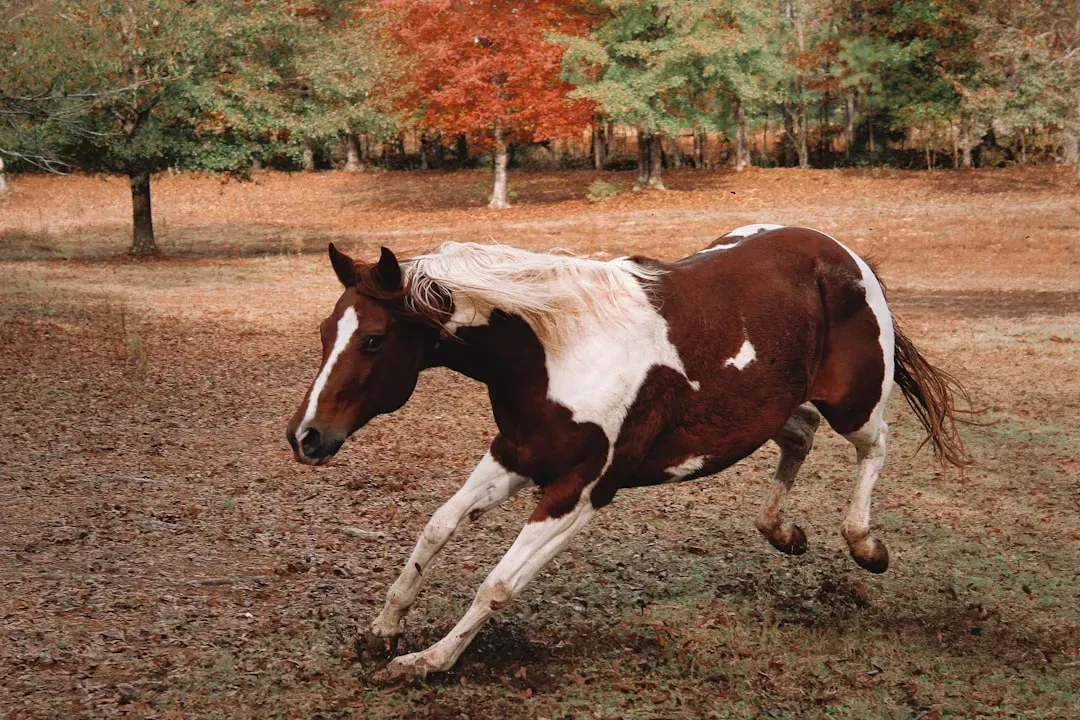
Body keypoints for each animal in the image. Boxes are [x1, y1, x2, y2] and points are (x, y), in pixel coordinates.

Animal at [285, 224, 969, 679]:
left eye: (374, 340)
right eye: (325, 331)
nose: (305, 436)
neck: (556, 349)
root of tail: (844, 255)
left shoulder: (580, 491)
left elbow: (498, 585)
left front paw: (426, 660)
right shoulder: (514, 456)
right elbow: (435, 529)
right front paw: (382, 631)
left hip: (855, 402)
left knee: (875, 446)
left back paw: (865, 544)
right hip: (771, 406)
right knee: (799, 433)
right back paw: (783, 532)